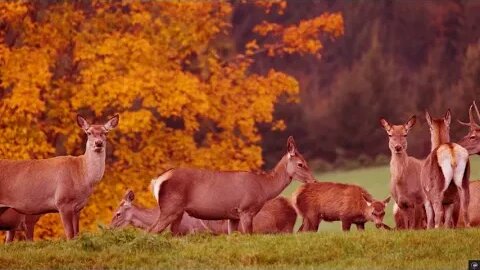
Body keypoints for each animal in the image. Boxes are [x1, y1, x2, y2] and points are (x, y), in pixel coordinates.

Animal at [148, 137, 316, 234]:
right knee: (151, 231)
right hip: (170, 207)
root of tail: (157, 181)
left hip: (177, 211)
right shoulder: (246, 210)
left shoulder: (233, 216)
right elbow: (248, 236)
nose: (314, 181)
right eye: (301, 164)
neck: (264, 187)